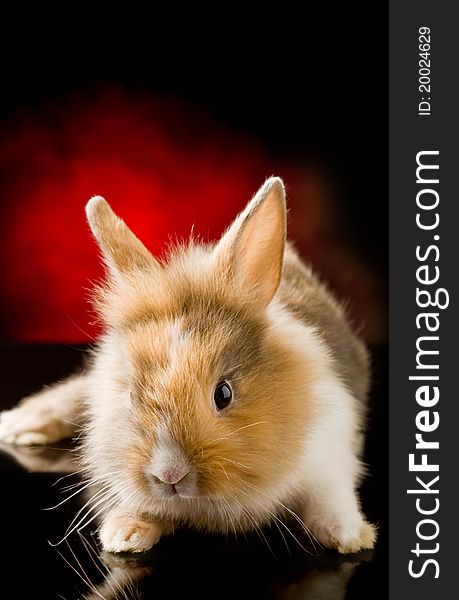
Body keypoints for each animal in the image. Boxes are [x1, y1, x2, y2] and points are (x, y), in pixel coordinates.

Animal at [0, 177, 376, 552]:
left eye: (223, 394)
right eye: (132, 396)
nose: (169, 475)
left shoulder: (330, 453)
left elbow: (332, 496)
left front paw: (349, 535)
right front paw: (124, 534)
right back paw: (18, 425)